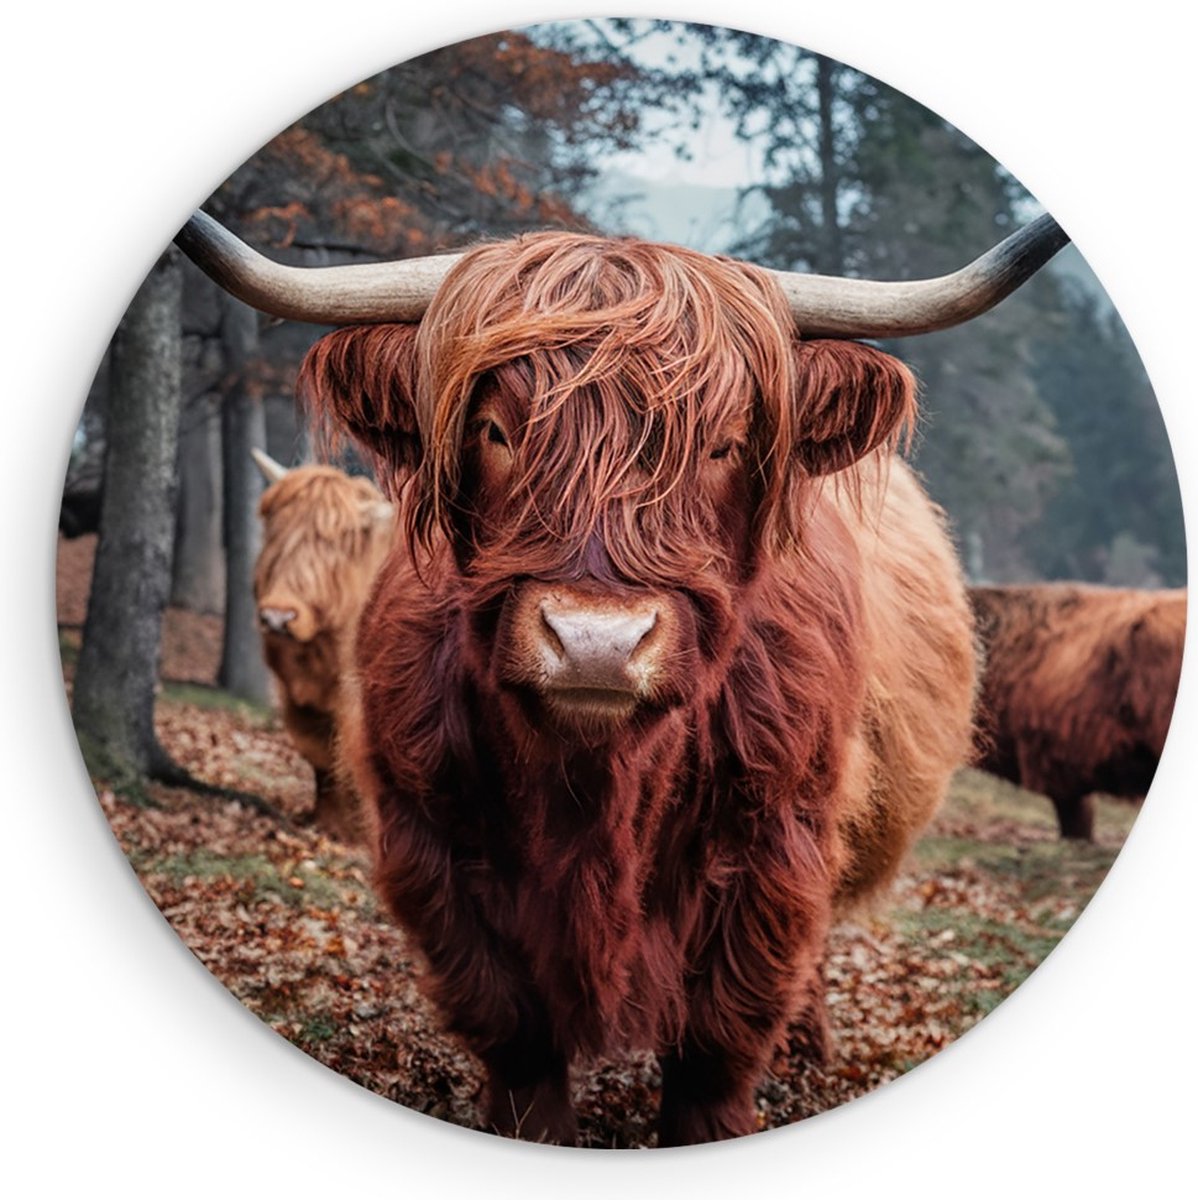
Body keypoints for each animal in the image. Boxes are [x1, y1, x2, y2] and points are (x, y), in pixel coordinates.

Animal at [251, 450, 393, 842]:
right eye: (277, 532)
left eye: (335, 543)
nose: (277, 617)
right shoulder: (297, 698)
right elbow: (320, 757)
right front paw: (328, 824)